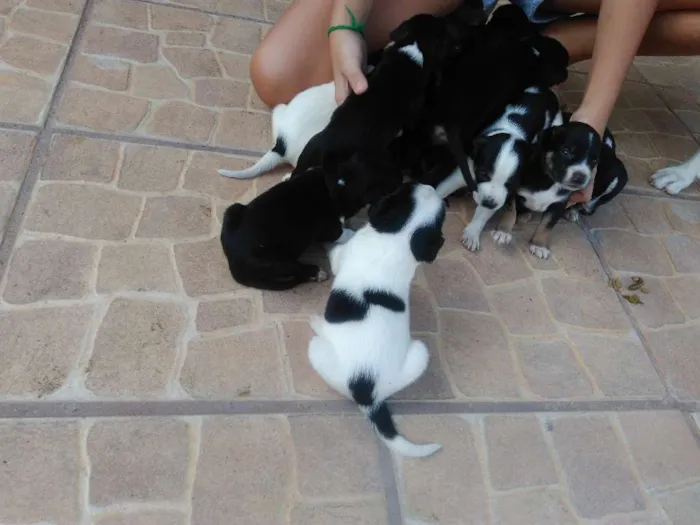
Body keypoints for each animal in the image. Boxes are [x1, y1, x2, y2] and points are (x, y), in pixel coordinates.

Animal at [221, 166, 358, 290]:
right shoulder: (330, 228)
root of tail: (233, 263)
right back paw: (317, 273)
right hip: (276, 261)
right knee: (296, 269)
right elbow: (346, 233)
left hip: (233, 209)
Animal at [308, 182, 446, 456]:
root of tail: (368, 395)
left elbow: (335, 252)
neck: (400, 235)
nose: (429, 183)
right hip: (420, 353)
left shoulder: (343, 255)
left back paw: (318, 323)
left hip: (317, 350)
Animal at [438, 85, 564, 251]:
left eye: (511, 183)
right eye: (483, 174)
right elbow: (439, 190)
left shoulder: (496, 196)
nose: (489, 203)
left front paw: (472, 233)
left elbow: (482, 214)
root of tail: (544, 90)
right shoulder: (463, 172)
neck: (510, 131)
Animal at [498, 116, 628, 260]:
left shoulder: (559, 204)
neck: (550, 181)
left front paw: (539, 245)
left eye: (594, 161)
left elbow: (546, 226)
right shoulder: (512, 190)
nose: (580, 176)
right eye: (566, 152)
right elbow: (510, 211)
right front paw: (503, 232)